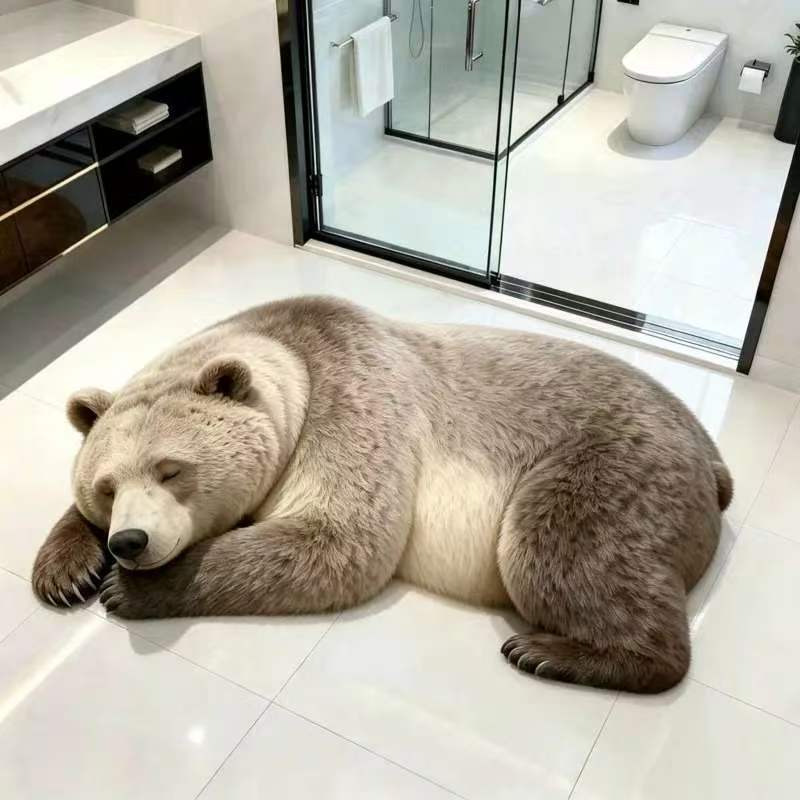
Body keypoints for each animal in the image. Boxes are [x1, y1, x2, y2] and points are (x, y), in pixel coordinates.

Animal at [32, 296, 732, 693]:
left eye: (172, 469)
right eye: (106, 487)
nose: (130, 542)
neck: (287, 354)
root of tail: (713, 457)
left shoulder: (352, 394)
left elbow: (341, 536)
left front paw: (132, 590)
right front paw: (65, 571)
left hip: (612, 463)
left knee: (558, 549)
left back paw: (552, 652)